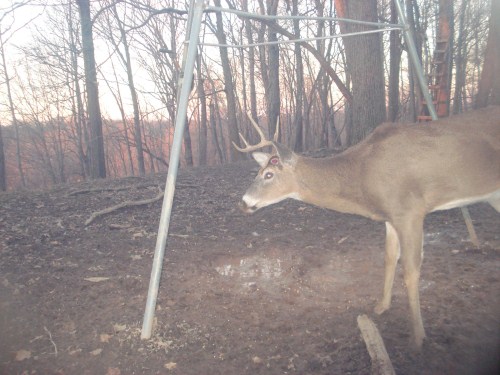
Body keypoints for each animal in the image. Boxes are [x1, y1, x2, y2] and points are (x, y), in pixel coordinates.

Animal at [233, 105, 500, 350]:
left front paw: (418, 336)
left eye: (268, 174)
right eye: (259, 171)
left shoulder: (410, 210)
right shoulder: (390, 217)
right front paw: (381, 306)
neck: (362, 174)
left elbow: (411, 270)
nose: (243, 203)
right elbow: (389, 258)